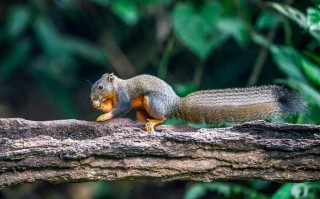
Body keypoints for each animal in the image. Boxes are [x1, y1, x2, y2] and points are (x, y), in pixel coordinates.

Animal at [91, 73, 306, 132]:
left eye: (100, 86)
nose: (92, 97)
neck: (116, 88)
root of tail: (174, 104)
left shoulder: (125, 97)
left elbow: (119, 110)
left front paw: (103, 115)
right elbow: (113, 107)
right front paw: (99, 106)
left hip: (151, 100)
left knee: (163, 117)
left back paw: (154, 122)